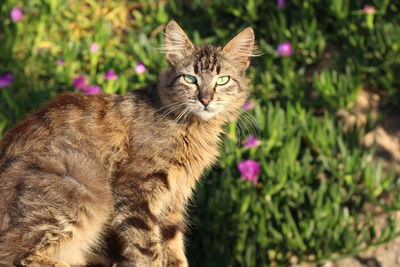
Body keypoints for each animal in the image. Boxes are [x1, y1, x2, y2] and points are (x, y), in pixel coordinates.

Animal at [0, 19, 256, 266]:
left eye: (222, 80)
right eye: (190, 79)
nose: (205, 99)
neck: (192, 128)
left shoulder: (174, 199)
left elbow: (173, 247)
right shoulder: (136, 190)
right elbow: (148, 249)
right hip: (80, 188)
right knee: (16, 256)